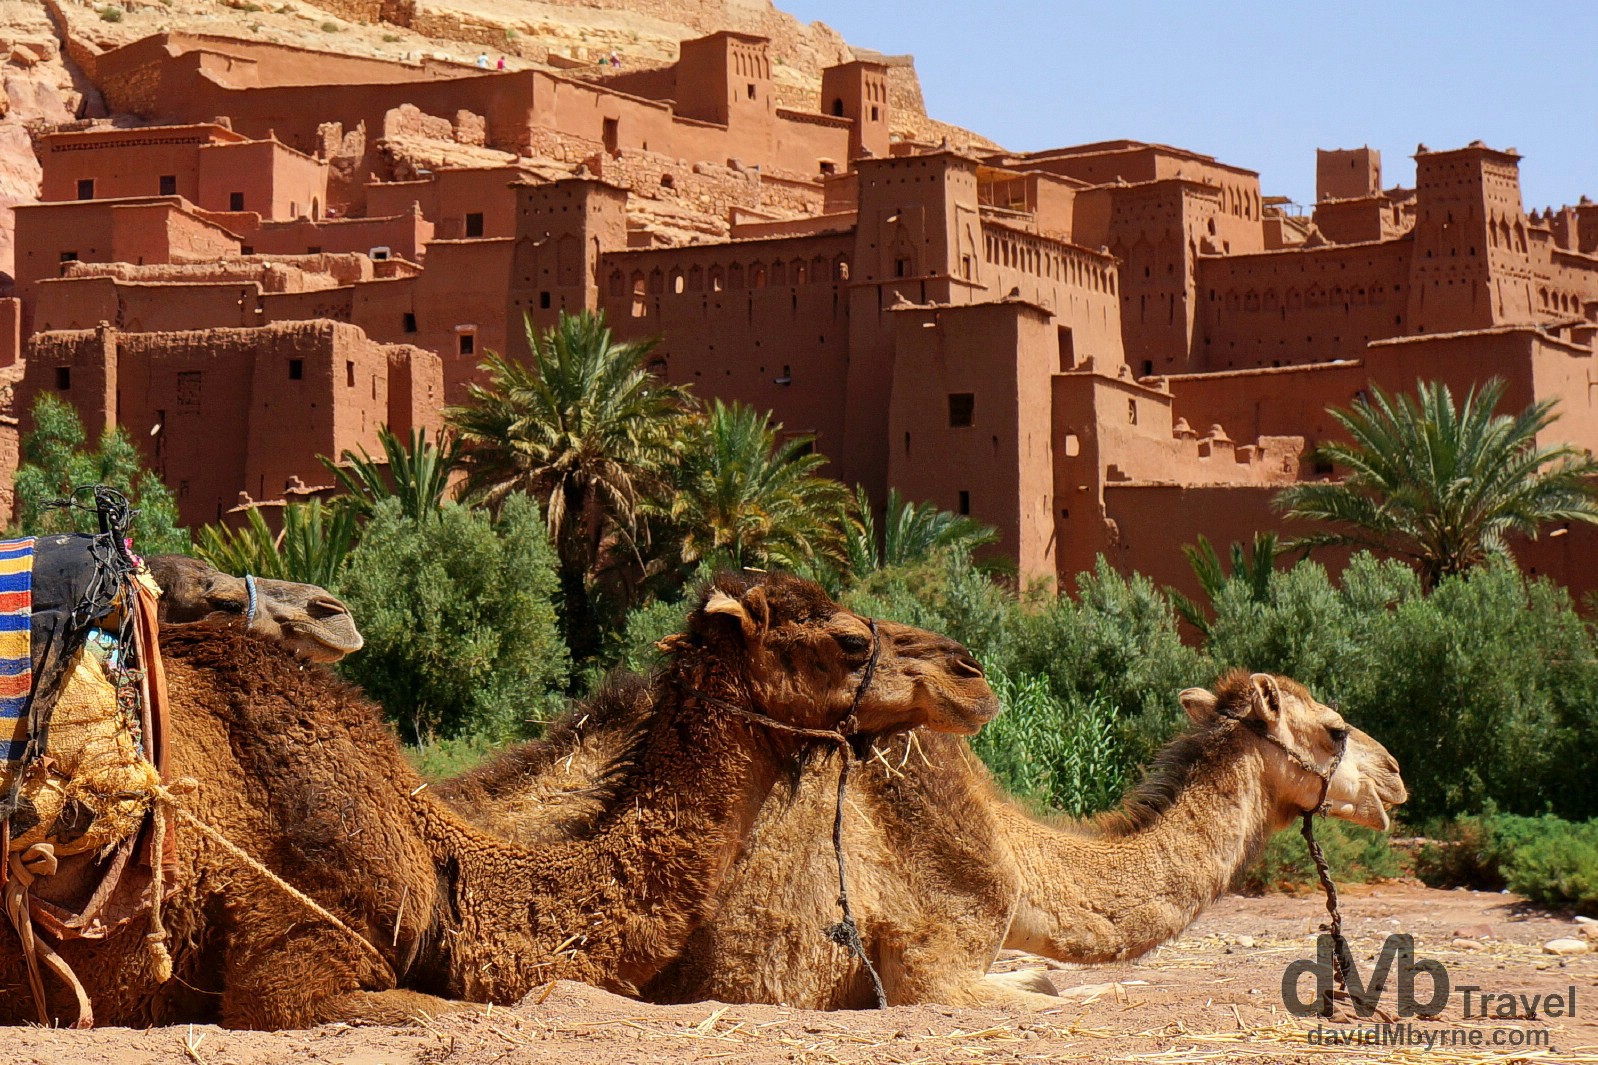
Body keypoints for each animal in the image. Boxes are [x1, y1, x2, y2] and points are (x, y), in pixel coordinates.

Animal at [444, 668, 1406, 1010]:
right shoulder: (932, 958)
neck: (1016, 855)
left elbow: (1046, 974)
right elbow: (1050, 993)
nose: (1397, 777)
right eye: (1335, 729)